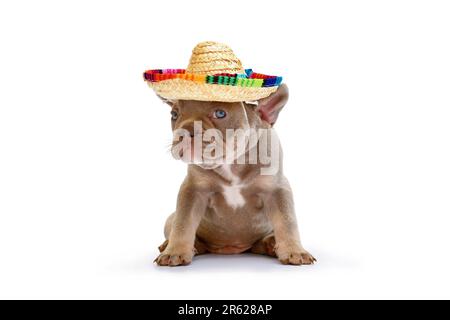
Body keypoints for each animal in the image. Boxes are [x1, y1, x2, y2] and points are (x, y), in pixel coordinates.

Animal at [156, 84, 316, 266]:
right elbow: (183, 223)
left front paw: (294, 251)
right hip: (170, 220)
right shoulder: (193, 190)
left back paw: (270, 243)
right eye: (174, 115)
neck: (232, 163)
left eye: (220, 113)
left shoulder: (277, 190)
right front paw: (175, 252)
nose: (184, 131)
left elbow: (287, 221)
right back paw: (178, 245)